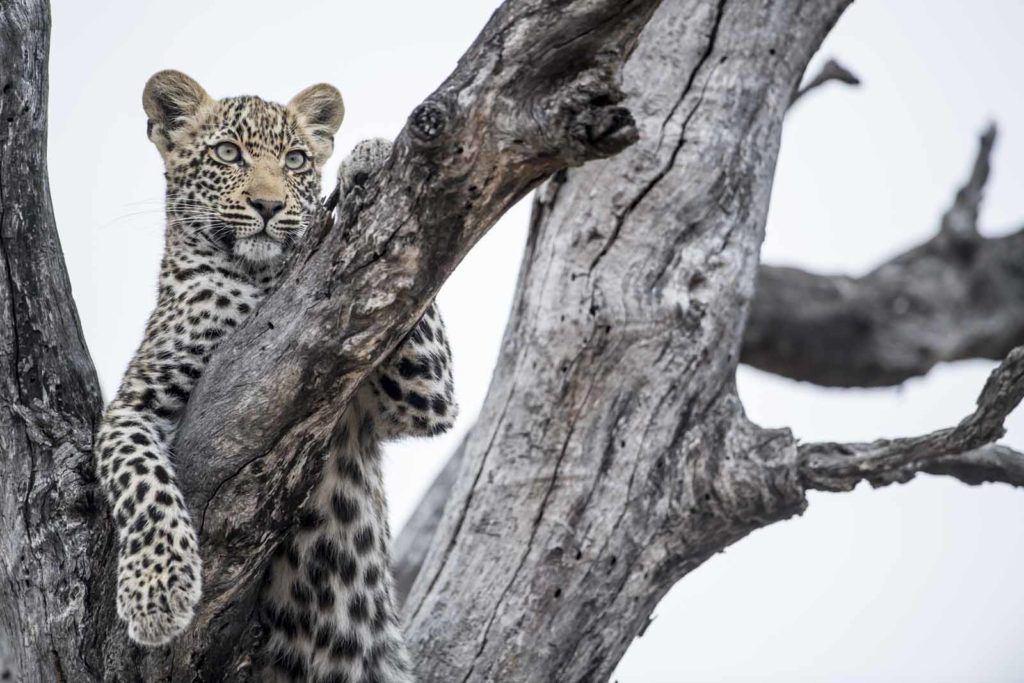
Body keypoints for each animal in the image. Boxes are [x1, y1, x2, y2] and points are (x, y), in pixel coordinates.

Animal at [93, 70, 456, 683]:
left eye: (295, 159)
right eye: (227, 153)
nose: (268, 205)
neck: (258, 278)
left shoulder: (420, 395)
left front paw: (370, 159)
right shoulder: (136, 403)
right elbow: (143, 482)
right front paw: (156, 595)